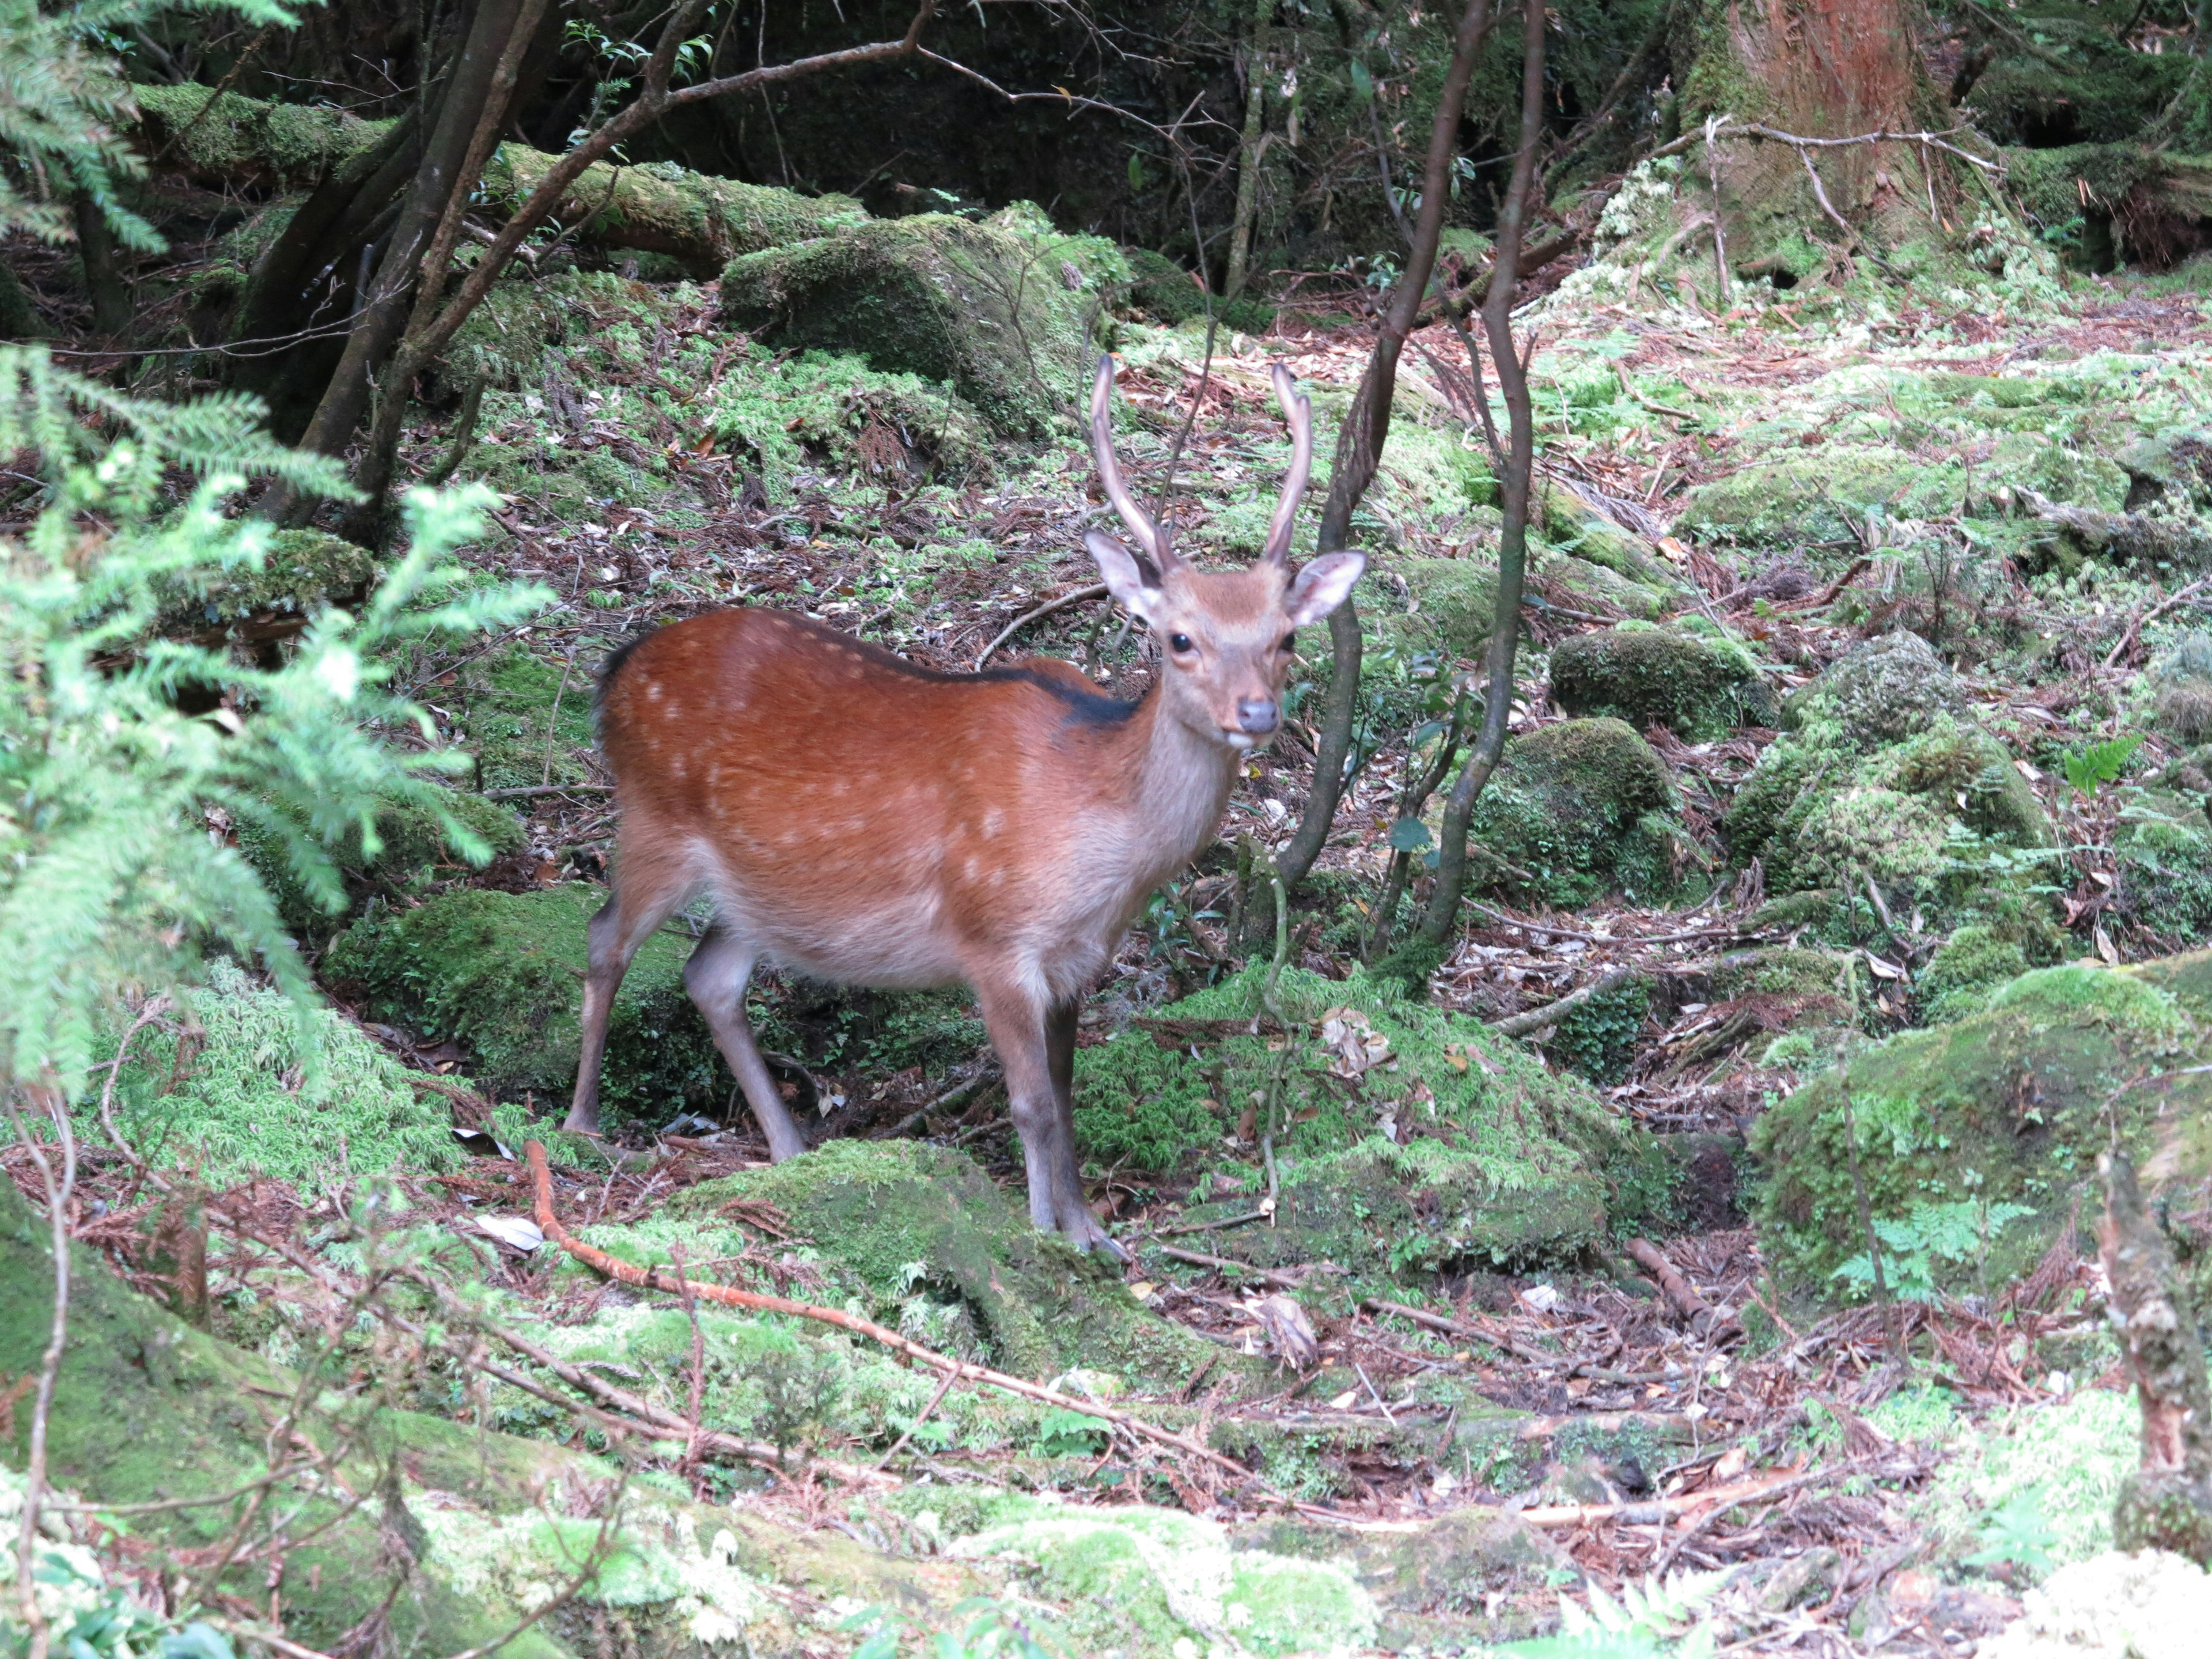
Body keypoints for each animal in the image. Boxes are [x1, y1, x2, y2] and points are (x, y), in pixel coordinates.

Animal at [557, 358, 1362, 1256]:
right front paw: (1050, 1239)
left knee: (711, 978)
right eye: (1180, 639)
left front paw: (1091, 1231)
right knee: (605, 939)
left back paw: (794, 1150)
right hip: (653, 816)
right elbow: (1032, 1103)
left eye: (1286, 637)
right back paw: (582, 1123)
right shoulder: (994, 938)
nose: (1257, 713)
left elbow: (1065, 1093)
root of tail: (613, 674)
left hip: (758, 886)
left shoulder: (1077, 960)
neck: (1104, 850)